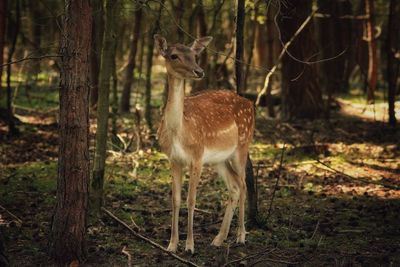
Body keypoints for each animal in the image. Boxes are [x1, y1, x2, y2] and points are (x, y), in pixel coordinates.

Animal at [155, 34, 255, 254]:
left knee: (244, 184)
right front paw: (171, 245)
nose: (199, 71)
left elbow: (191, 200)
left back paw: (241, 236)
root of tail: (251, 103)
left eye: (194, 55)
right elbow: (175, 200)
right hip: (220, 159)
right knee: (234, 187)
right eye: (174, 55)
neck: (180, 131)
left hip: (242, 146)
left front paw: (190, 246)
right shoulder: (173, 159)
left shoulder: (197, 156)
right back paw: (218, 239)